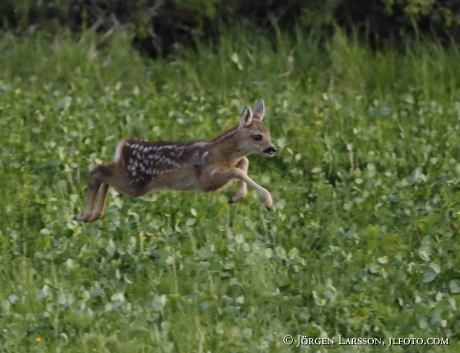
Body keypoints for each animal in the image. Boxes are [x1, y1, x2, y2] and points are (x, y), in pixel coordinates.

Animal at [73, 97, 276, 221]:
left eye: (269, 134)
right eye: (257, 136)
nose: (272, 149)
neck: (221, 152)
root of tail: (123, 146)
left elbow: (243, 163)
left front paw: (237, 197)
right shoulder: (204, 180)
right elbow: (237, 171)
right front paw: (268, 202)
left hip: (131, 179)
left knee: (103, 170)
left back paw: (91, 215)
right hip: (135, 182)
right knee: (98, 170)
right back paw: (85, 215)